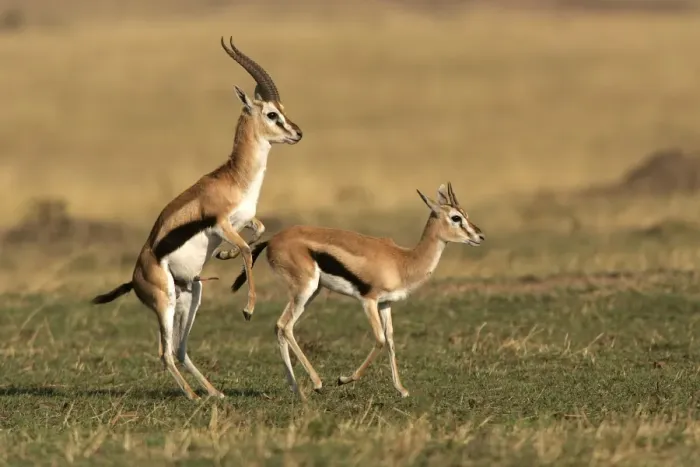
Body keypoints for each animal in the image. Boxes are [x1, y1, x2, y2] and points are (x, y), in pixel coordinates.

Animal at [90, 37, 303, 400]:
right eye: (272, 114)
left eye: (283, 109)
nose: (298, 133)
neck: (233, 178)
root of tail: (135, 277)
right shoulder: (221, 223)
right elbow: (247, 250)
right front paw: (247, 309)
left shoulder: (243, 220)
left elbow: (258, 231)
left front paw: (224, 254)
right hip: (165, 302)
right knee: (164, 353)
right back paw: (191, 395)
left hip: (192, 295)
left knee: (179, 349)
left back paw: (214, 393)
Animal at [223, 182, 484, 400]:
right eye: (456, 217)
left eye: (466, 214)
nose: (480, 236)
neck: (403, 260)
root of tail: (273, 239)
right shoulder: (368, 300)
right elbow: (379, 340)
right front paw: (343, 379)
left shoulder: (385, 304)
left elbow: (390, 340)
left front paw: (401, 389)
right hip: (305, 290)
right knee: (285, 326)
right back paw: (317, 383)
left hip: (311, 292)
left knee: (280, 327)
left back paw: (297, 389)